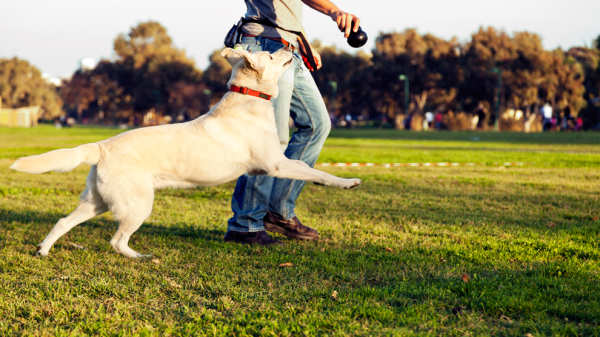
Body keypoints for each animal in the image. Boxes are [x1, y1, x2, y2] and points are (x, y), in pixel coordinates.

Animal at [11, 47, 360, 258]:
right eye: (271, 55)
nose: (290, 47)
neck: (248, 98)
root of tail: (101, 146)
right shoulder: (276, 164)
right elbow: (315, 170)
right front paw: (347, 182)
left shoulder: (270, 166)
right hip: (138, 205)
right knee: (116, 241)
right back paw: (140, 257)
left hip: (97, 202)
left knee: (62, 221)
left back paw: (43, 250)